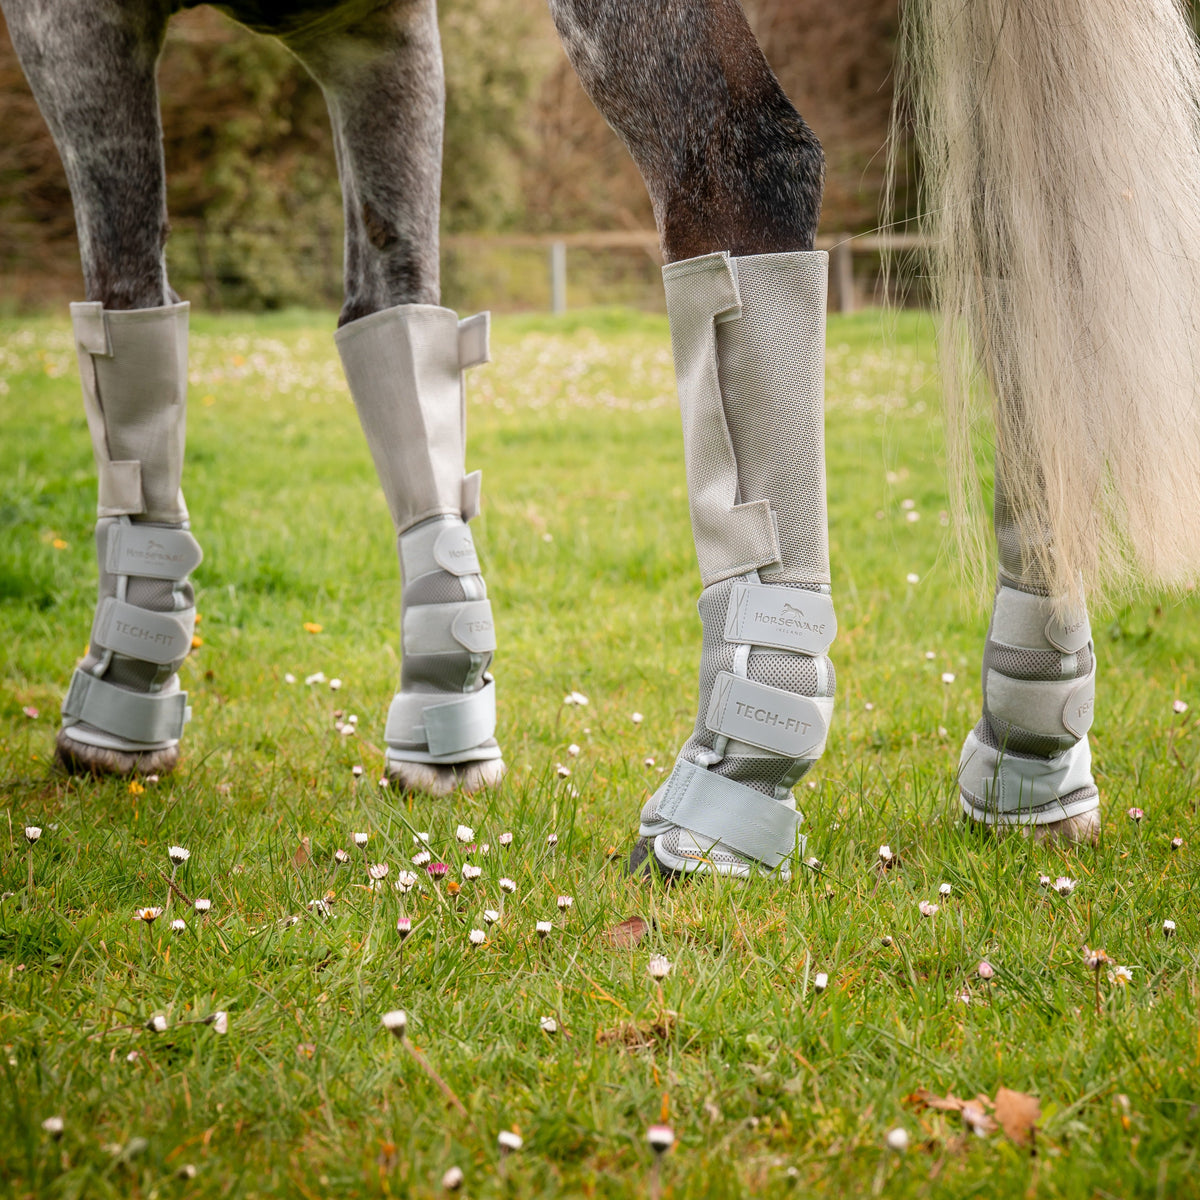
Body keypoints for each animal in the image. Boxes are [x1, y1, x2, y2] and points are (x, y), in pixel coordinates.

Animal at [6, 0, 1200, 877]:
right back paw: (1033, 753)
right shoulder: (373, 30)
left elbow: (128, 318)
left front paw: (122, 703)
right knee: (1030, 255)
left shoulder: (79, 22)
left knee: (745, 162)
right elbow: (393, 323)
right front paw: (443, 714)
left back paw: (727, 792)